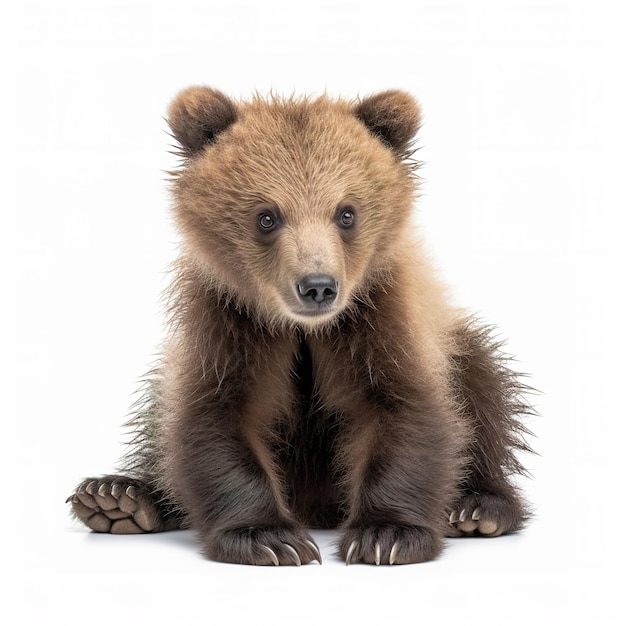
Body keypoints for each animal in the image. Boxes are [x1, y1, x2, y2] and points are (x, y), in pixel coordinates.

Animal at [69, 85, 536, 564]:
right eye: (267, 216)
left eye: (346, 213)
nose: (317, 287)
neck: (304, 330)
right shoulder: (229, 321)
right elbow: (215, 415)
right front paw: (269, 537)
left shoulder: (377, 317)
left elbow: (406, 407)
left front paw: (386, 533)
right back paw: (119, 496)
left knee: (484, 385)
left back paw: (478, 508)